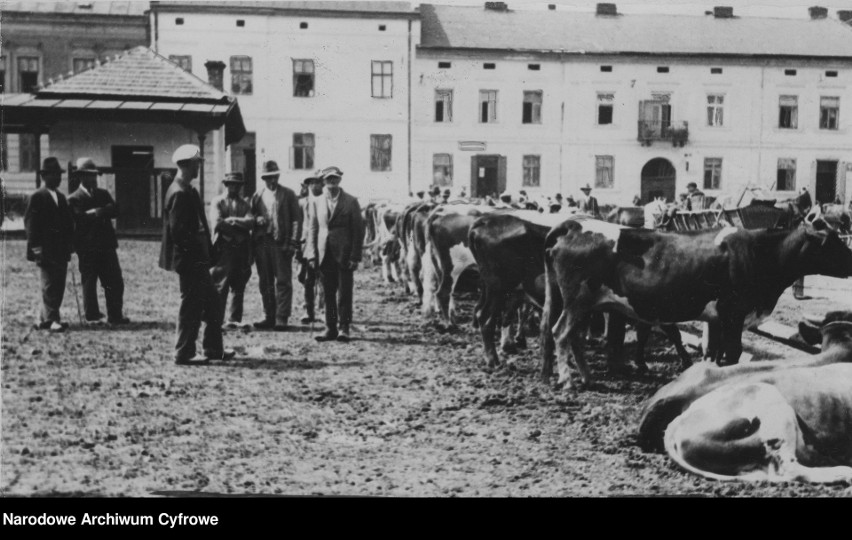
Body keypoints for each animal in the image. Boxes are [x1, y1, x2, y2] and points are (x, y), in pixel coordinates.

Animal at [544, 208, 852, 388]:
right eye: (831, 242)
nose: (851, 260)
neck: (761, 253)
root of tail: (574, 225)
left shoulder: (718, 318)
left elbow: (714, 353)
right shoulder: (733, 313)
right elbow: (733, 353)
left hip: (585, 303)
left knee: (572, 336)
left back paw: (586, 376)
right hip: (577, 299)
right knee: (560, 332)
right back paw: (567, 380)